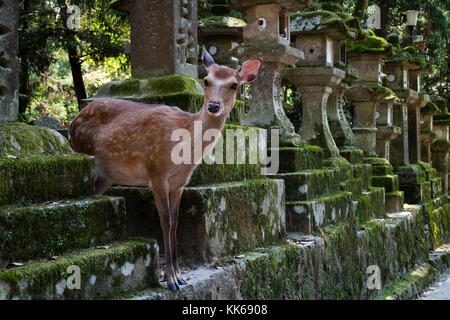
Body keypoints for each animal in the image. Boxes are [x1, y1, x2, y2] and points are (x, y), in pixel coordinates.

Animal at [68, 47, 262, 290]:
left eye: (234, 85)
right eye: (206, 80)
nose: (214, 106)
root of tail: (72, 123)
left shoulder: (179, 184)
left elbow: (176, 223)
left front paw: (180, 277)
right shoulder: (156, 173)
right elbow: (166, 222)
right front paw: (170, 280)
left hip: (105, 178)